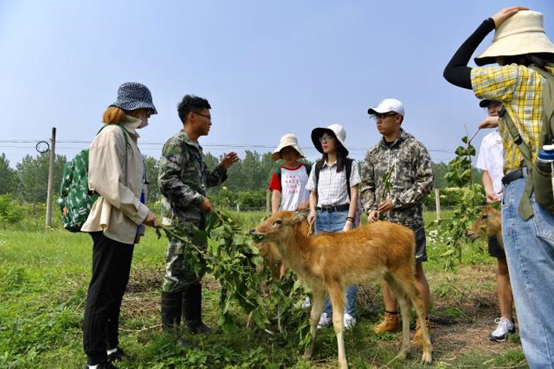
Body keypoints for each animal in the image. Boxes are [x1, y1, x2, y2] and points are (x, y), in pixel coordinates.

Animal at [250, 210, 432, 368]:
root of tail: (410, 234)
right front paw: (306, 354)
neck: (310, 256)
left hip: (403, 267)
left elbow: (337, 321)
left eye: (278, 221)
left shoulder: (335, 281)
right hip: (389, 274)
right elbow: (313, 317)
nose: (253, 230)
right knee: (405, 303)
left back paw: (427, 354)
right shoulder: (318, 286)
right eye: (270, 216)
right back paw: (403, 353)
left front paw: (343, 363)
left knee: (418, 299)